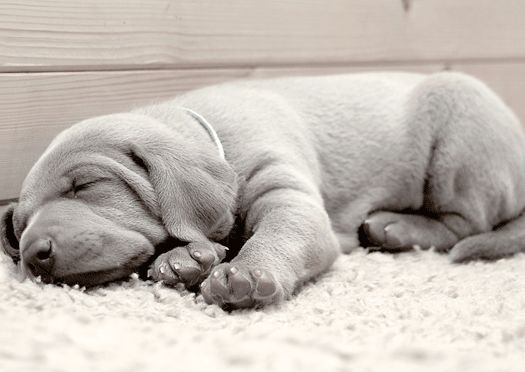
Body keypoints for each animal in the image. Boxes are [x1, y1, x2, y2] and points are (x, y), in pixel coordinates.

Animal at [1, 72, 524, 308]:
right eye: (20, 228)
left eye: (86, 185)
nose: (33, 255)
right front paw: (186, 258)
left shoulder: (285, 188)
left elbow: (281, 232)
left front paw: (245, 272)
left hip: (460, 126)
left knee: (463, 224)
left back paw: (396, 227)